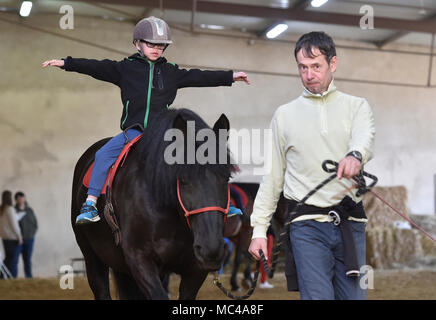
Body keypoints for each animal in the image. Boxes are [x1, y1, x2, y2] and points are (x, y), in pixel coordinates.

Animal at [71, 109, 237, 298]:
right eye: (183, 179)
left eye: (226, 178)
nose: (211, 249)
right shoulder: (140, 260)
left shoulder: (195, 270)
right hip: (91, 255)